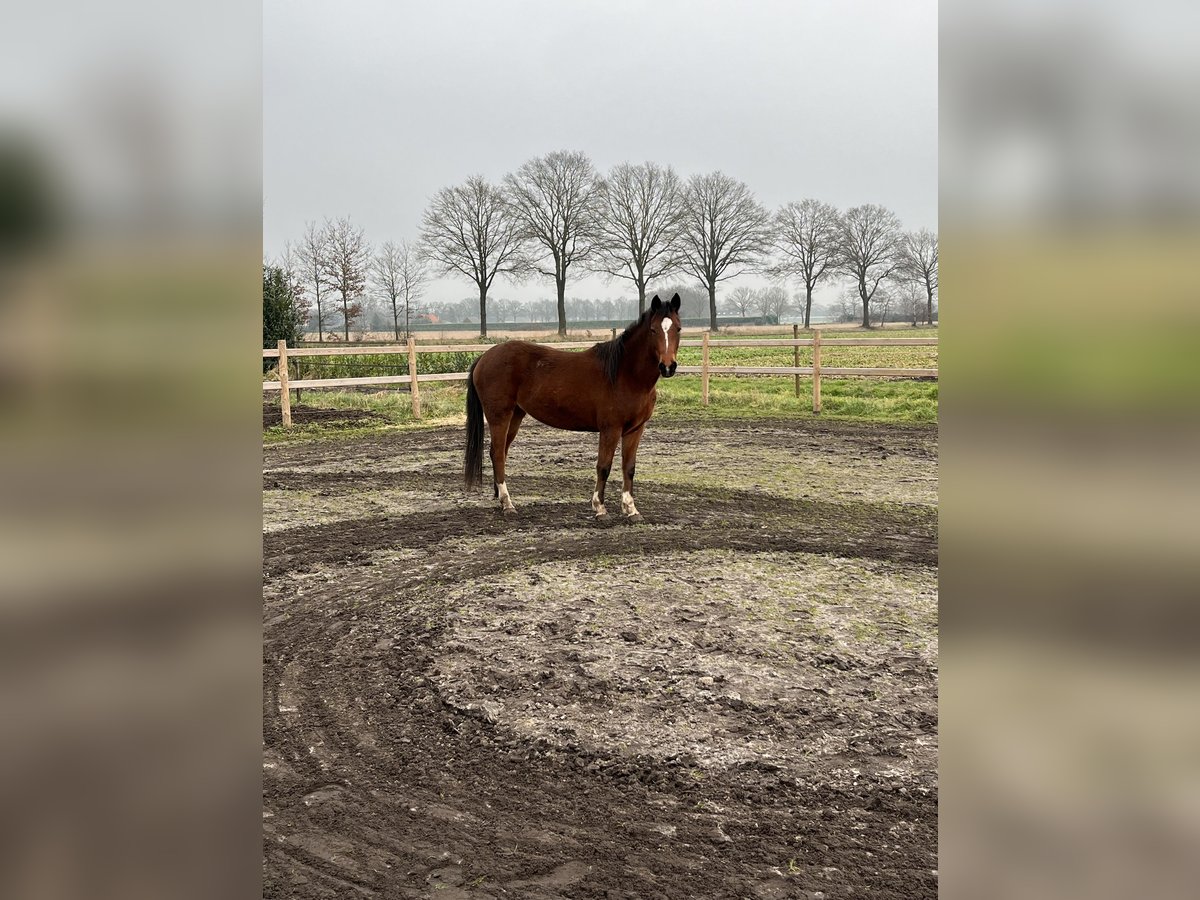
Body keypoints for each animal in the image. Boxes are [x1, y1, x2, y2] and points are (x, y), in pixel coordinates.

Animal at [460, 294, 681, 518]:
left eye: (678, 329)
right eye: (653, 330)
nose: (668, 366)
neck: (625, 374)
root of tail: (484, 357)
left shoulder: (635, 429)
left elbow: (629, 467)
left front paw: (631, 509)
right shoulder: (610, 429)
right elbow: (604, 466)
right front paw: (599, 508)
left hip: (515, 415)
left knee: (501, 453)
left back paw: (499, 496)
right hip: (499, 416)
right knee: (497, 453)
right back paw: (507, 503)